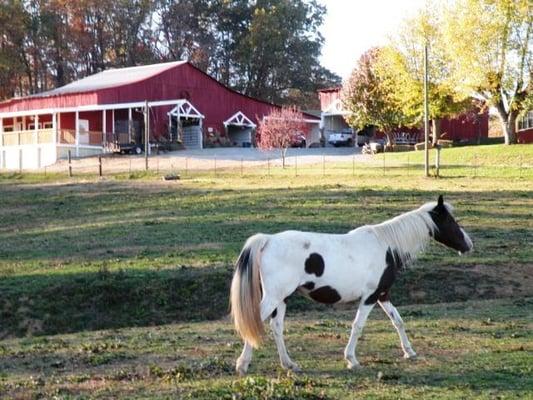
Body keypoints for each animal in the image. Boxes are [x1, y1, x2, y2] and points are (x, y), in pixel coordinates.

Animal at [231, 195, 472, 374]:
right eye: (450, 221)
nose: (468, 244)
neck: (386, 246)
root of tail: (268, 239)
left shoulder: (382, 295)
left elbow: (398, 321)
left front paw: (409, 351)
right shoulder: (370, 298)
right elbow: (358, 326)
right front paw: (351, 360)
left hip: (282, 298)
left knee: (277, 327)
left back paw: (289, 364)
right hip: (274, 297)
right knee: (256, 321)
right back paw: (242, 365)